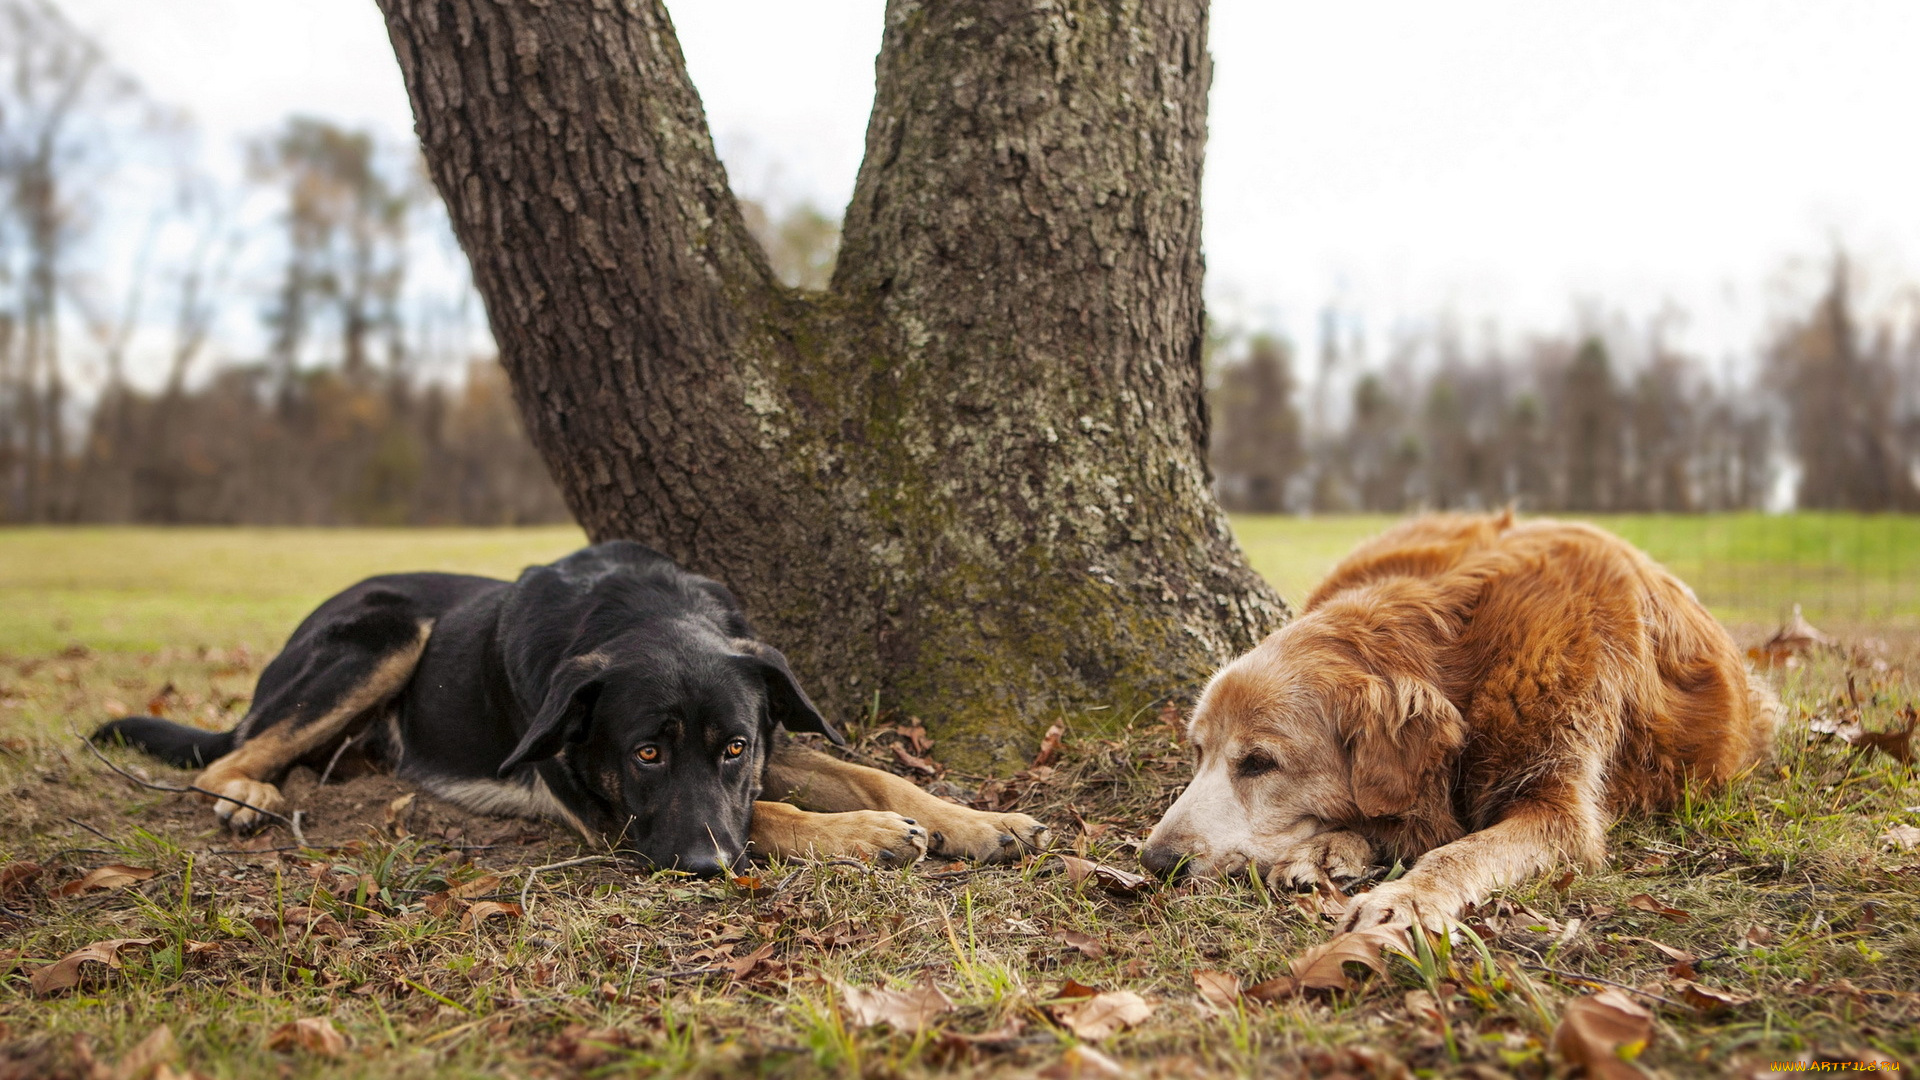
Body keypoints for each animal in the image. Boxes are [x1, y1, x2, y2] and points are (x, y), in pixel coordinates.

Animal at [93, 541, 1052, 868]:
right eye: (645, 754)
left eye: (734, 747)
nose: (704, 869)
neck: (642, 609)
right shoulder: (607, 805)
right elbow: (771, 815)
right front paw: (858, 837)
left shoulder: (772, 735)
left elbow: (875, 775)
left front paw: (976, 820)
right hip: (386, 631)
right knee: (230, 753)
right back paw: (248, 795)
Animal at [1136, 511, 1781, 926]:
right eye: (1198, 754)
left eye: (1258, 762)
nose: (1154, 862)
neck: (1462, 669)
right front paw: (1332, 847)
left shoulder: (1561, 809)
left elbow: (1458, 850)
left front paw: (1406, 897)